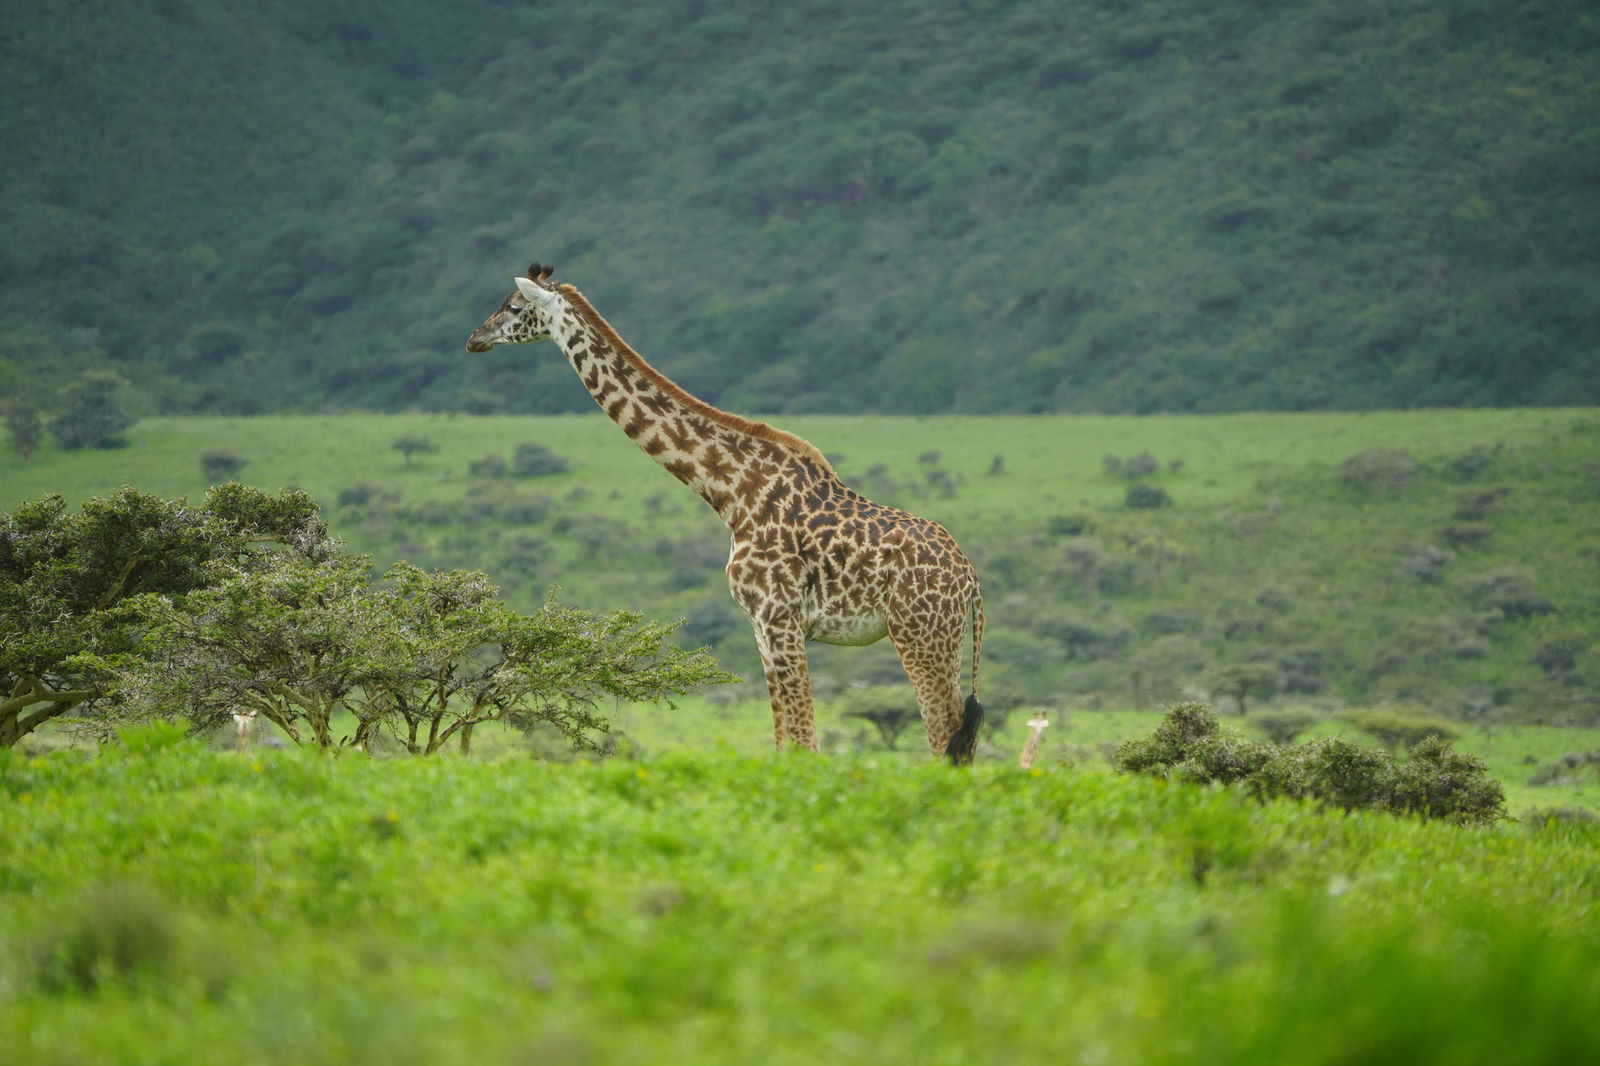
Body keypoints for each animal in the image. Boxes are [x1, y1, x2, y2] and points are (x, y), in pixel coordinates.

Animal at [466, 263, 986, 763]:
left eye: (514, 307)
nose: (474, 338)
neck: (732, 492)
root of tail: (971, 580)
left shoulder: (780, 618)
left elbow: (805, 742)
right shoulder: (761, 626)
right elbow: (783, 740)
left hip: (920, 636)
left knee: (944, 737)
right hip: (944, 641)